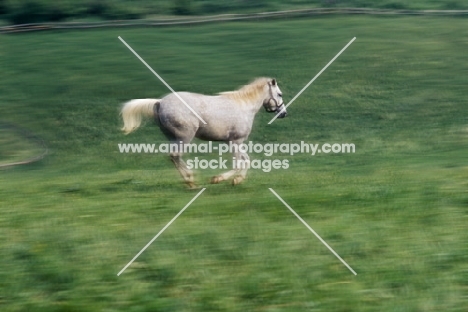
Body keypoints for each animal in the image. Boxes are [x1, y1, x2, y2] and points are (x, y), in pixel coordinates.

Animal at [119, 77, 286, 188]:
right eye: (280, 94)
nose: (284, 113)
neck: (245, 107)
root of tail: (159, 102)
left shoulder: (235, 142)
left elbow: (247, 160)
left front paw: (238, 180)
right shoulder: (235, 141)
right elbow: (238, 163)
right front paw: (217, 179)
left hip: (173, 137)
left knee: (173, 156)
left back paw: (190, 181)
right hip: (185, 136)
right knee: (175, 155)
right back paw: (190, 180)